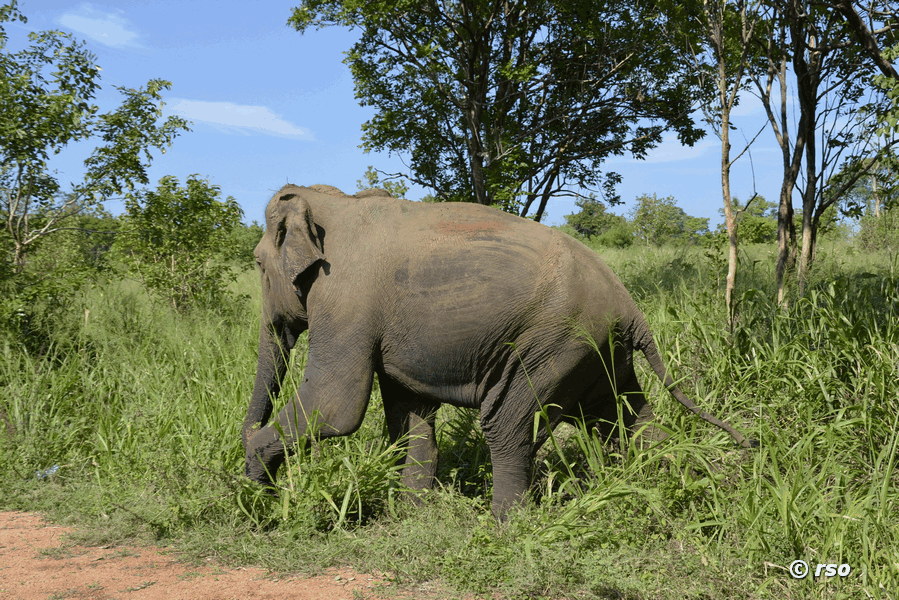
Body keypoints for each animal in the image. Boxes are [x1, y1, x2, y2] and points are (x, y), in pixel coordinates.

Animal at [242, 184, 755, 519]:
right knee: (626, 417)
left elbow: (338, 406)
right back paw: (676, 485)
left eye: (258, 264)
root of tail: (629, 306)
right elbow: (408, 413)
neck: (333, 201)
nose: (264, 497)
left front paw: (255, 488)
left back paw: (507, 527)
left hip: (553, 343)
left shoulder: (344, 300)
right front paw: (410, 517)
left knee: (505, 423)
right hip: (600, 351)